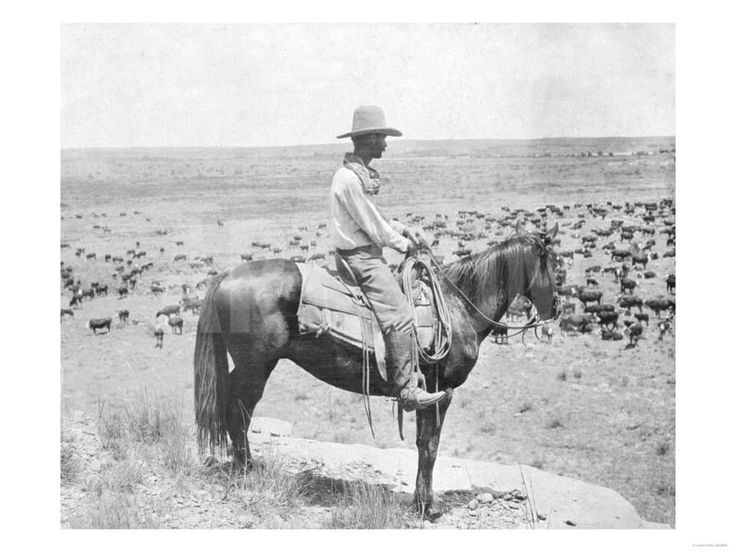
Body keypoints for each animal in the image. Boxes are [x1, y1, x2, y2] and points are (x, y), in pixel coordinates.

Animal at [193, 223, 560, 516]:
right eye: (553, 264)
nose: (556, 308)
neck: (458, 307)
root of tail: (226, 276)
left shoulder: (429, 393)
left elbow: (423, 444)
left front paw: (421, 501)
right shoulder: (441, 392)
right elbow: (430, 446)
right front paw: (427, 507)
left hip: (247, 367)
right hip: (255, 368)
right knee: (239, 412)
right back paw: (247, 470)